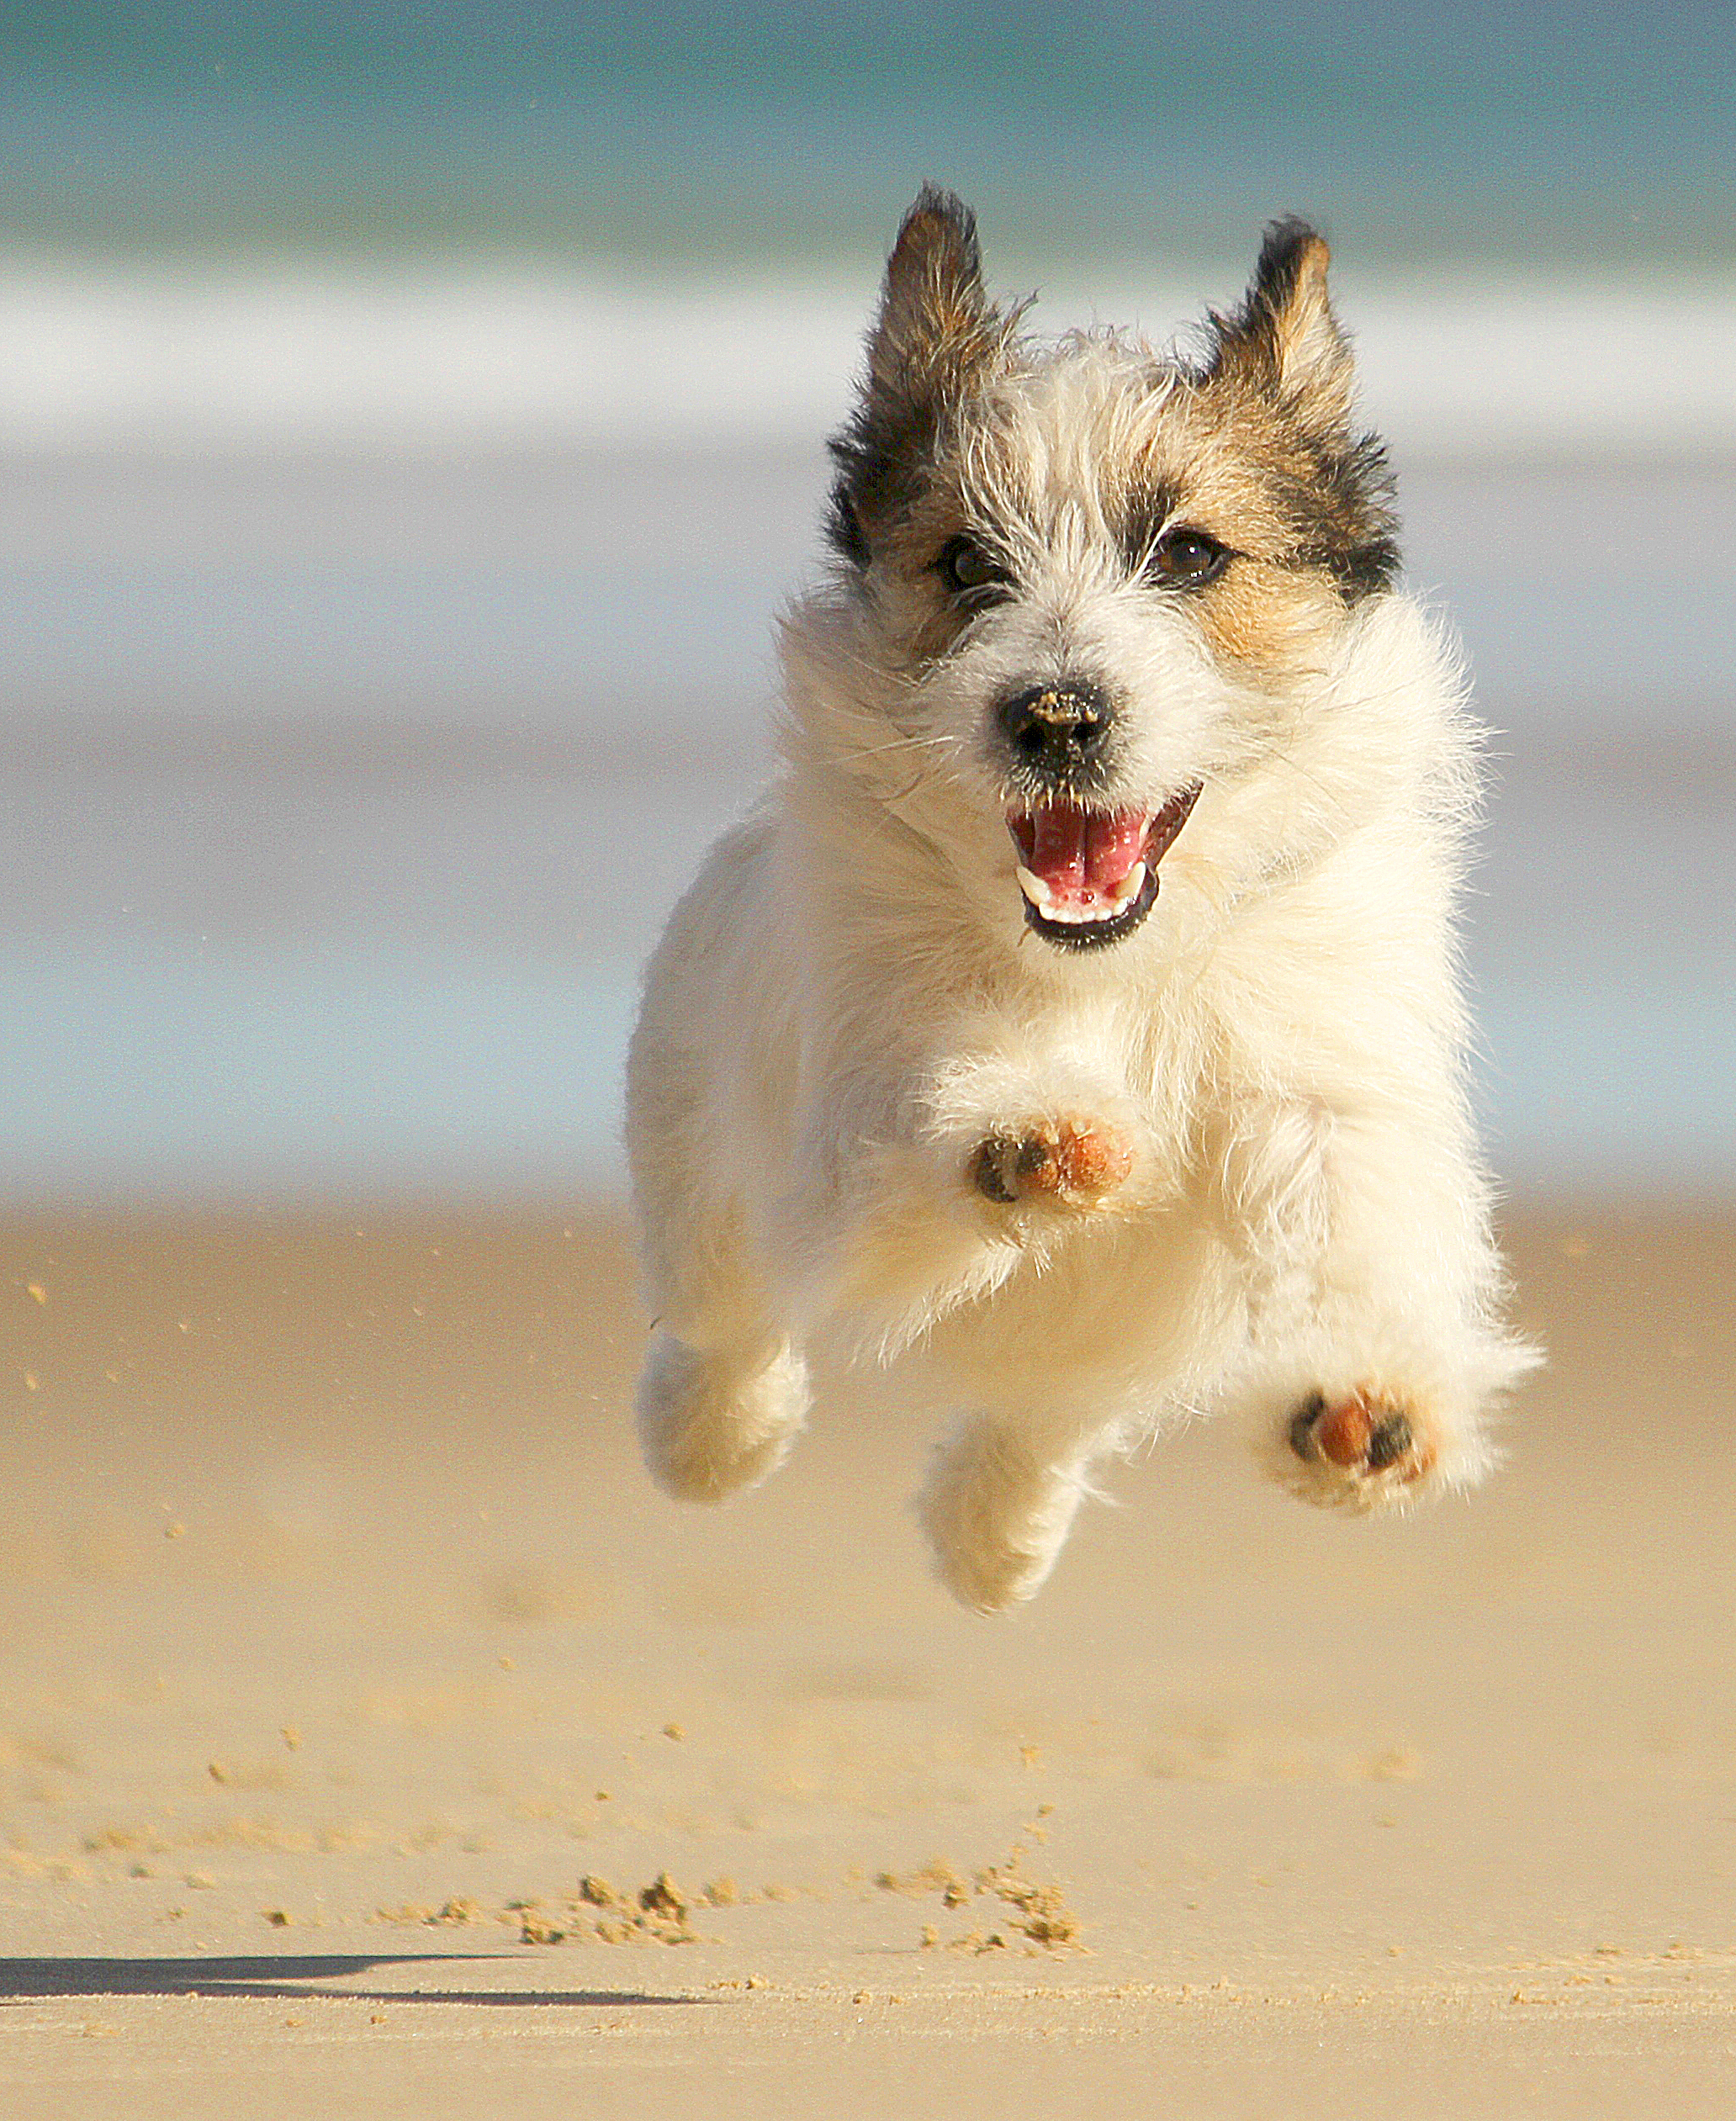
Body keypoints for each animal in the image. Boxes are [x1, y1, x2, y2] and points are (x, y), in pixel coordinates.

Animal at [619, 190, 1527, 1611]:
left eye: (1194, 553)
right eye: (962, 563)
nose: (1054, 714)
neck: (1121, 963)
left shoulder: (1324, 1079)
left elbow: (1352, 1217)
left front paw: (1366, 1395)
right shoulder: (859, 1097)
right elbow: (913, 1118)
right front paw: (1027, 1133)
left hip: (1094, 1366)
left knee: (1036, 1424)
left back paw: (994, 1539)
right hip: (697, 1158)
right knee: (727, 1326)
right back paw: (711, 1437)